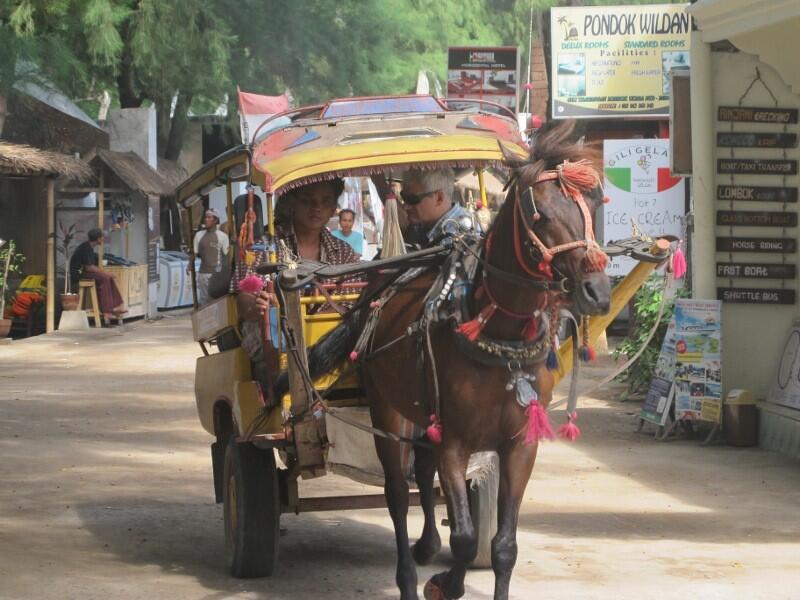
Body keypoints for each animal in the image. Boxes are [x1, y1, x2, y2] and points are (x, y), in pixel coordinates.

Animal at [304, 122, 608, 600]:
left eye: (595, 203)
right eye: (539, 213)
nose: (597, 291)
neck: (497, 332)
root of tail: (383, 284)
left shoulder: (520, 445)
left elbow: (503, 547)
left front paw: (458, 571)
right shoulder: (455, 442)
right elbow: (464, 539)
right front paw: (444, 584)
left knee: (423, 472)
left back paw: (427, 545)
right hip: (388, 412)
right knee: (396, 494)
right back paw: (409, 578)